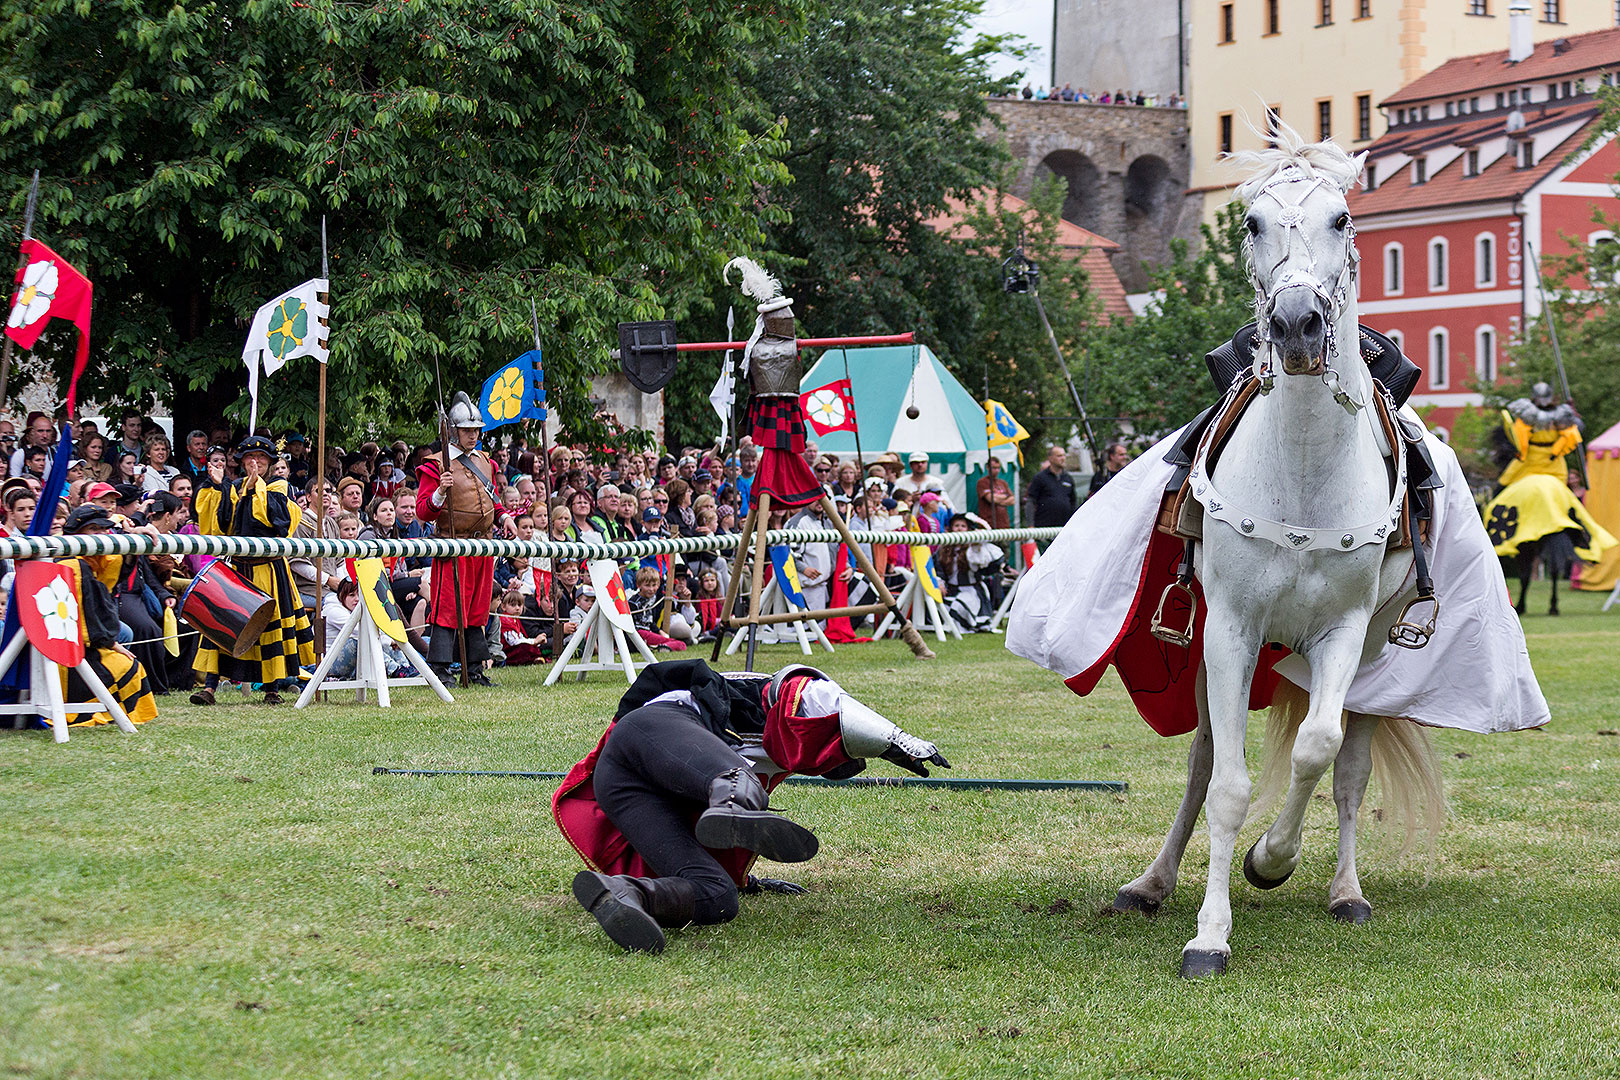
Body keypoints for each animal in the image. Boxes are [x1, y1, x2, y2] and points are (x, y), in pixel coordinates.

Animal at [1114, 128, 1445, 977]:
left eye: (1343, 217)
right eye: (1252, 223)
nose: (1298, 324)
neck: (1301, 475)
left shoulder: (1342, 635)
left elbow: (1316, 750)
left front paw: (1272, 858)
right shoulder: (1228, 631)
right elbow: (1225, 784)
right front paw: (1209, 933)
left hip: (1367, 657)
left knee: (1348, 769)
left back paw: (1345, 891)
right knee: (1202, 764)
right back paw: (1153, 882)